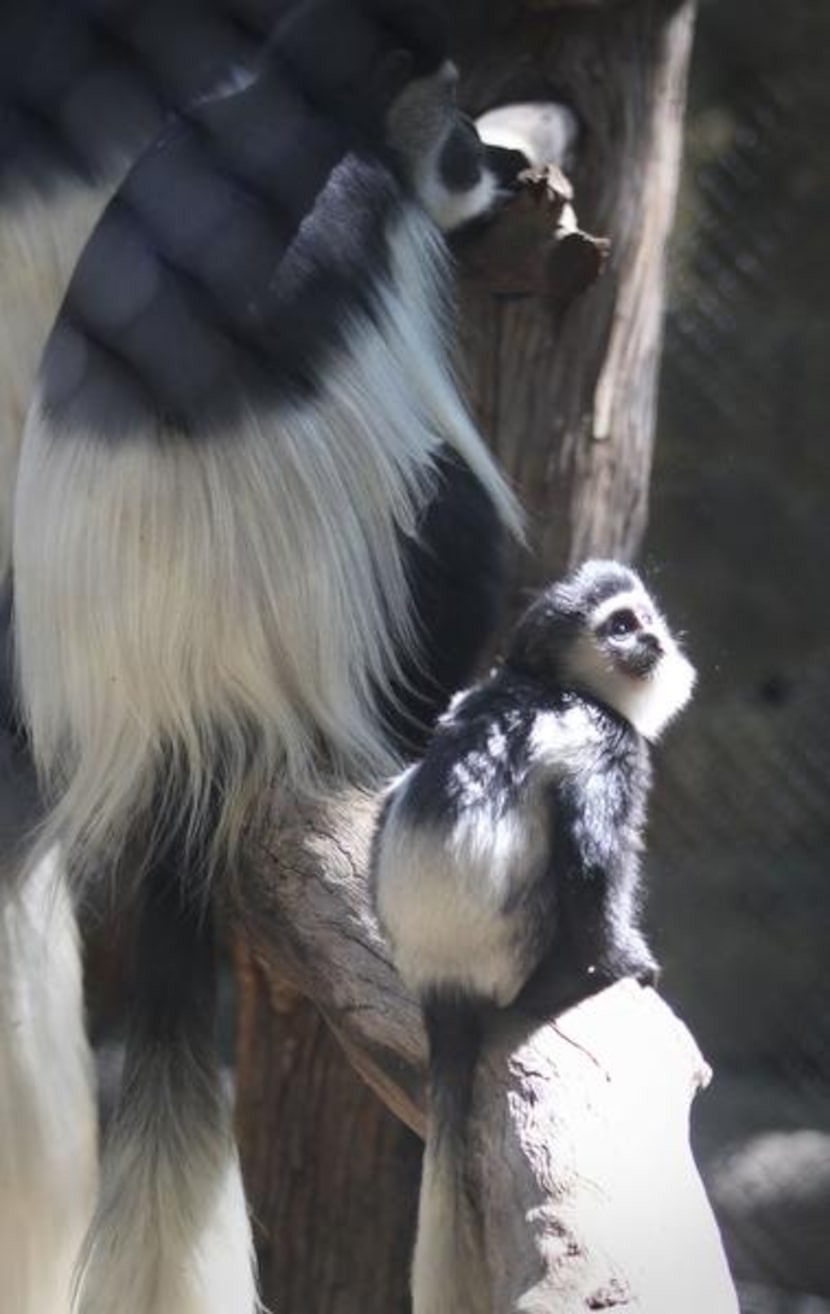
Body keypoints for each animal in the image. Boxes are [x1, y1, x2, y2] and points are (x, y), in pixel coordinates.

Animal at [11, 2, 525, 1314]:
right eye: (447, 111)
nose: (474, 152)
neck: (289, 108)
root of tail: (176, 738)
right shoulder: (384, 227)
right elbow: (469, 490)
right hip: (353, 654)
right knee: (447, 515)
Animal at [372, 559, 698, 1314]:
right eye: (621, 626)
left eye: (645, 617)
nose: (654, 642)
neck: (552, 684)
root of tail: (439, 981)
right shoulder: (607, 747)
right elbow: (594, 865)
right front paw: (628, 963)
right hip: (519, 945)